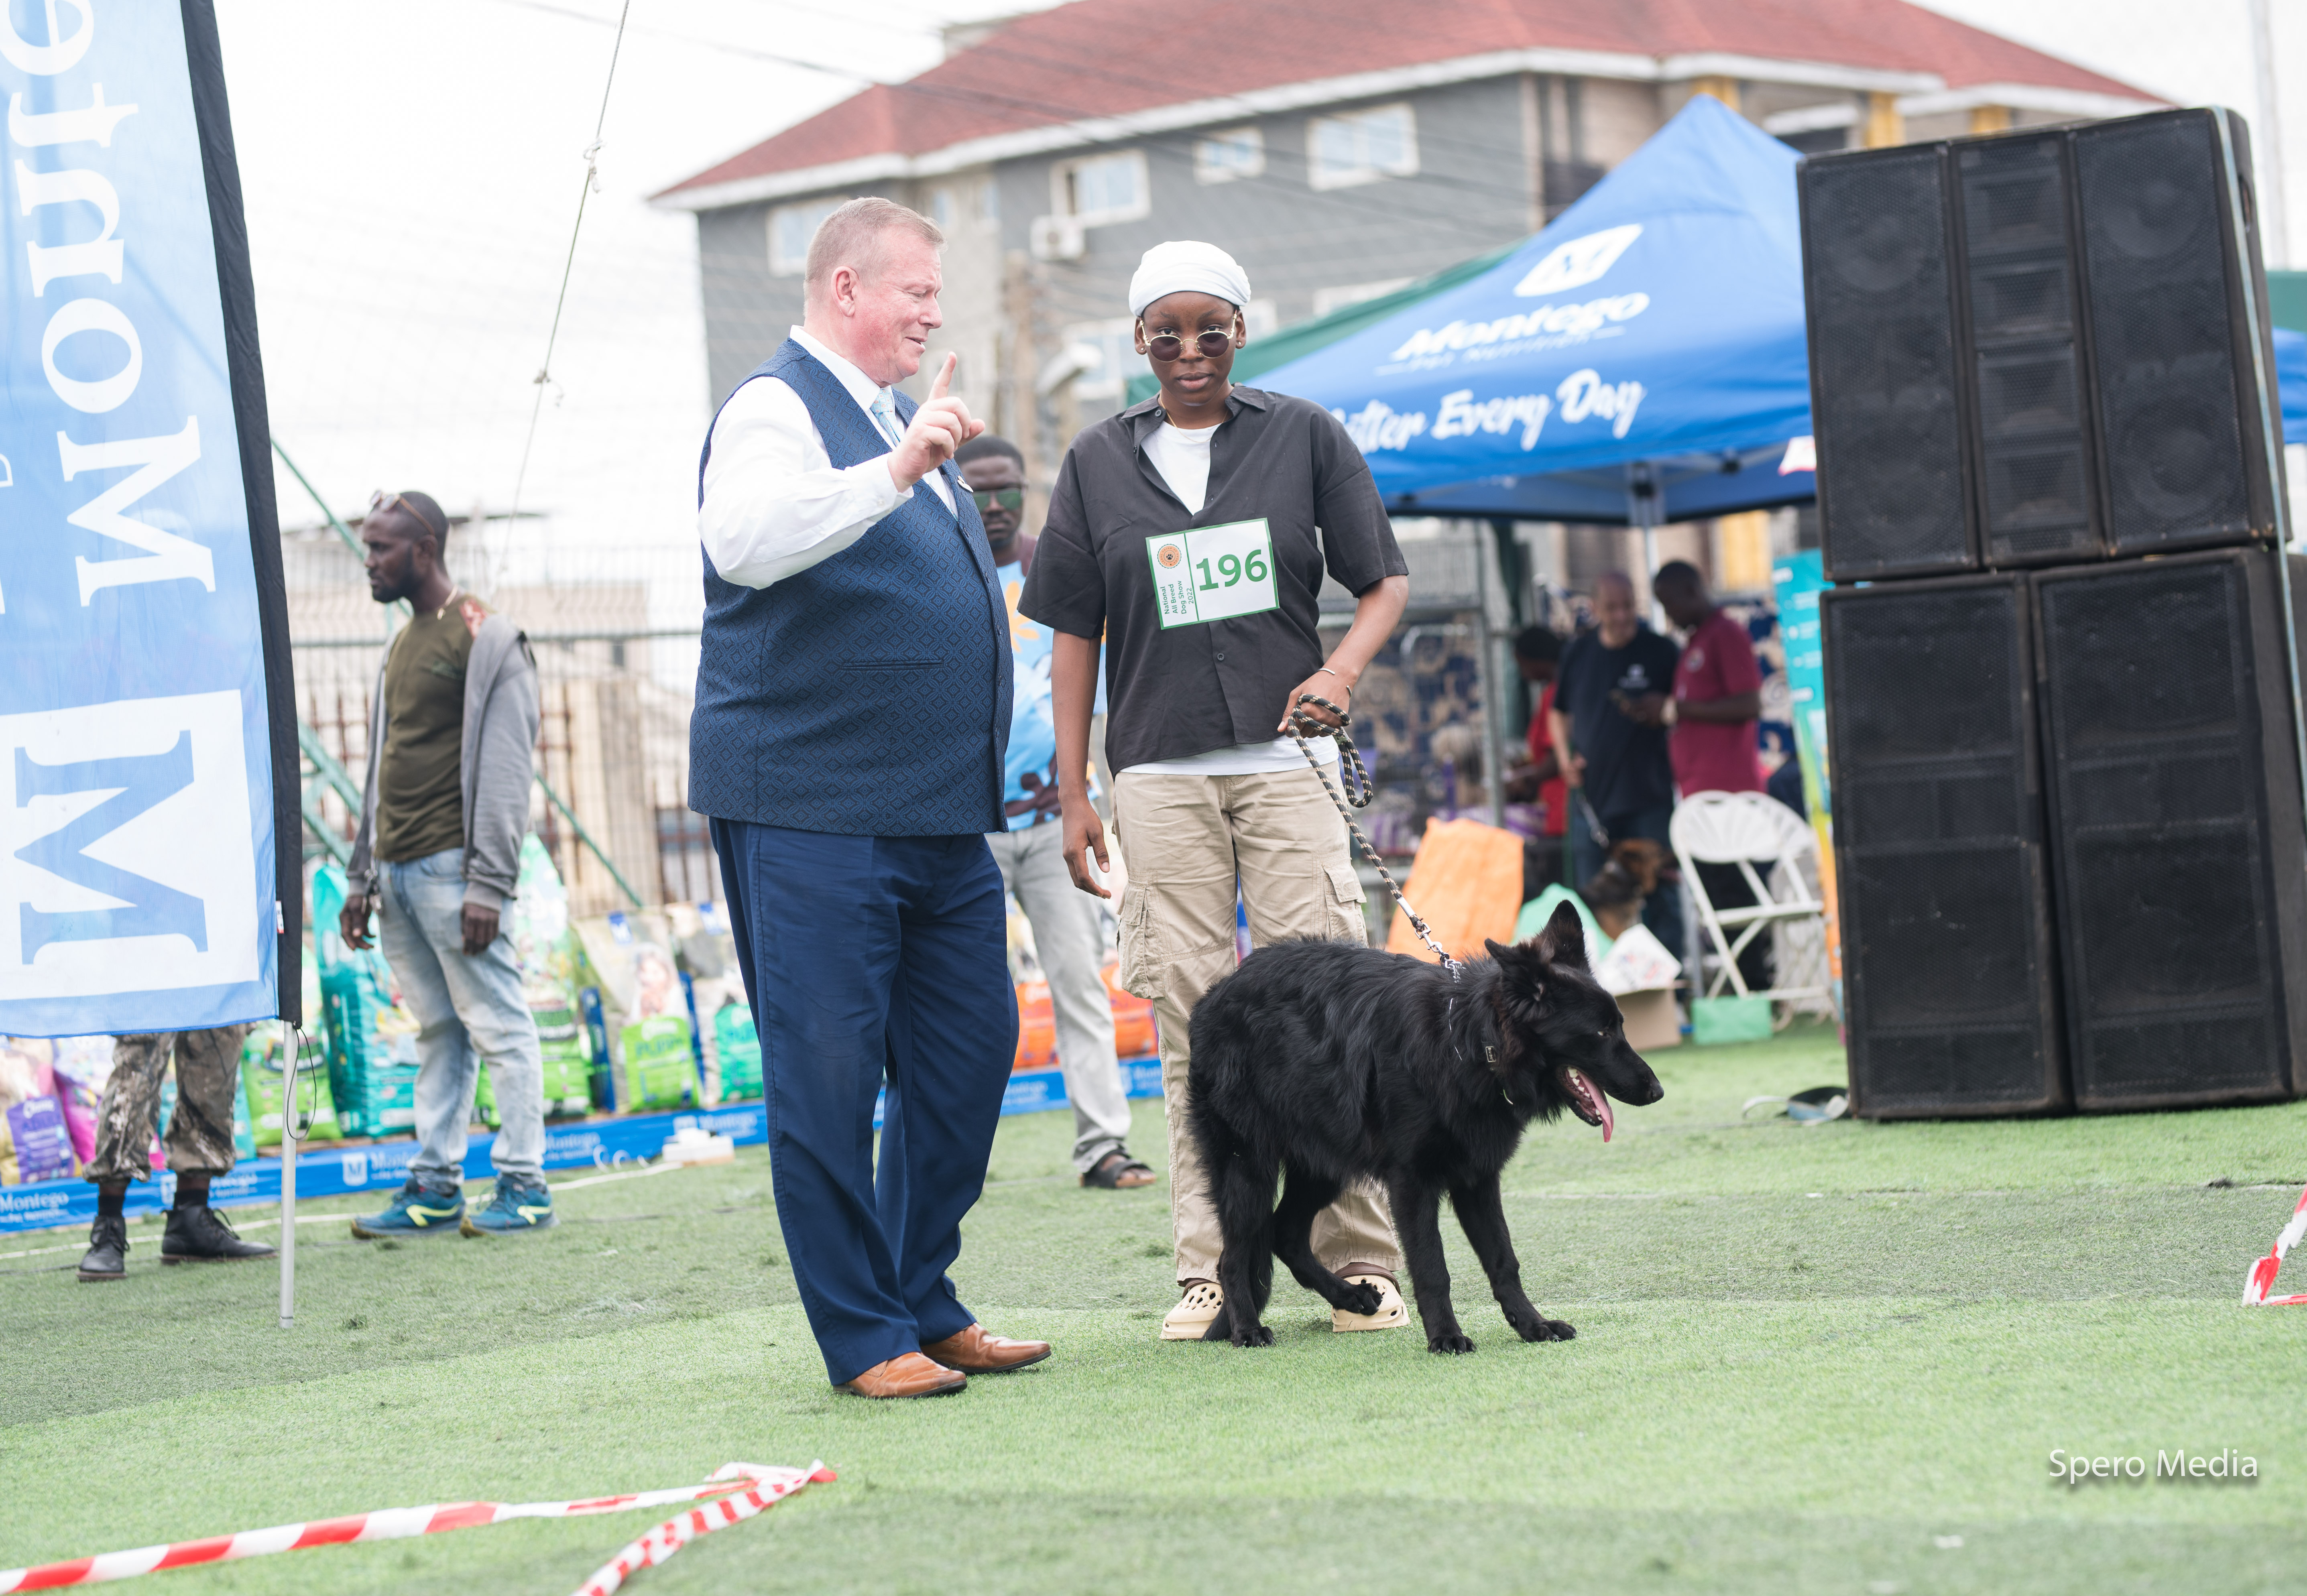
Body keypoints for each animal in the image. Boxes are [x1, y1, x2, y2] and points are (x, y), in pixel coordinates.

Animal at [1186, 899, 1663, 1354]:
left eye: (1620, 1025)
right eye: (1601, 1032)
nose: (1657, 1091)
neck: (1470, 1043)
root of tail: (1212, 997)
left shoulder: (1478, 1180)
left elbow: (1504, 1260)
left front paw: (1533, 1325)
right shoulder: (1412, 1184)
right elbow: (1434, 1268)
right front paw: (1446, 1337)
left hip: (1323, 1166)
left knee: (1285, 1233)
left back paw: (1352, 1297)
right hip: (1248, 1168)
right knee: (1233, 1257)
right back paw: (1247, 1329)